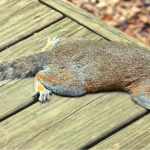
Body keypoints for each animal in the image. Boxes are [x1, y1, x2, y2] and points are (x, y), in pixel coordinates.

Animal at [0, 36, 150, 109]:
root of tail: (50, 55)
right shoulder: (144, 83)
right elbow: (141, 96)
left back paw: (51, 44)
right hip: (73, 83)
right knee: (40, 74)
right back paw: (41, 89)